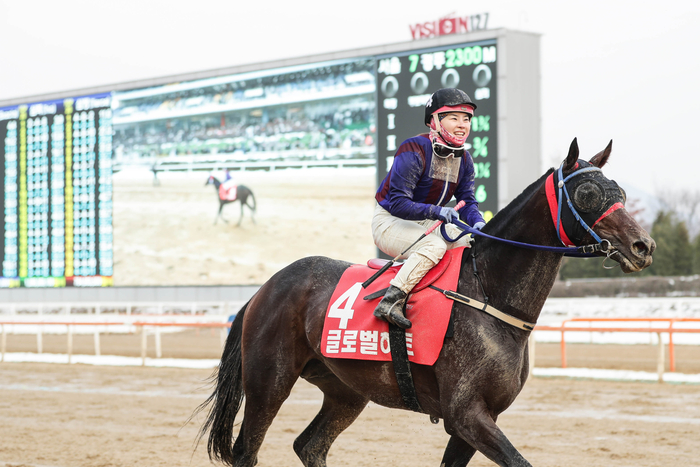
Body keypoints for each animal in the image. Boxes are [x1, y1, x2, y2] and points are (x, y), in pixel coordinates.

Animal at [196, 140, 656, 467]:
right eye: (589, 192)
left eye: (620, 190)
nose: (644, 246)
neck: (490, 297)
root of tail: (265, 287)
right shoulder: (466, 414)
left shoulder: (478, 419)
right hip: (268, 382)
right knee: (247, 451)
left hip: (345, 391)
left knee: (310, 446)